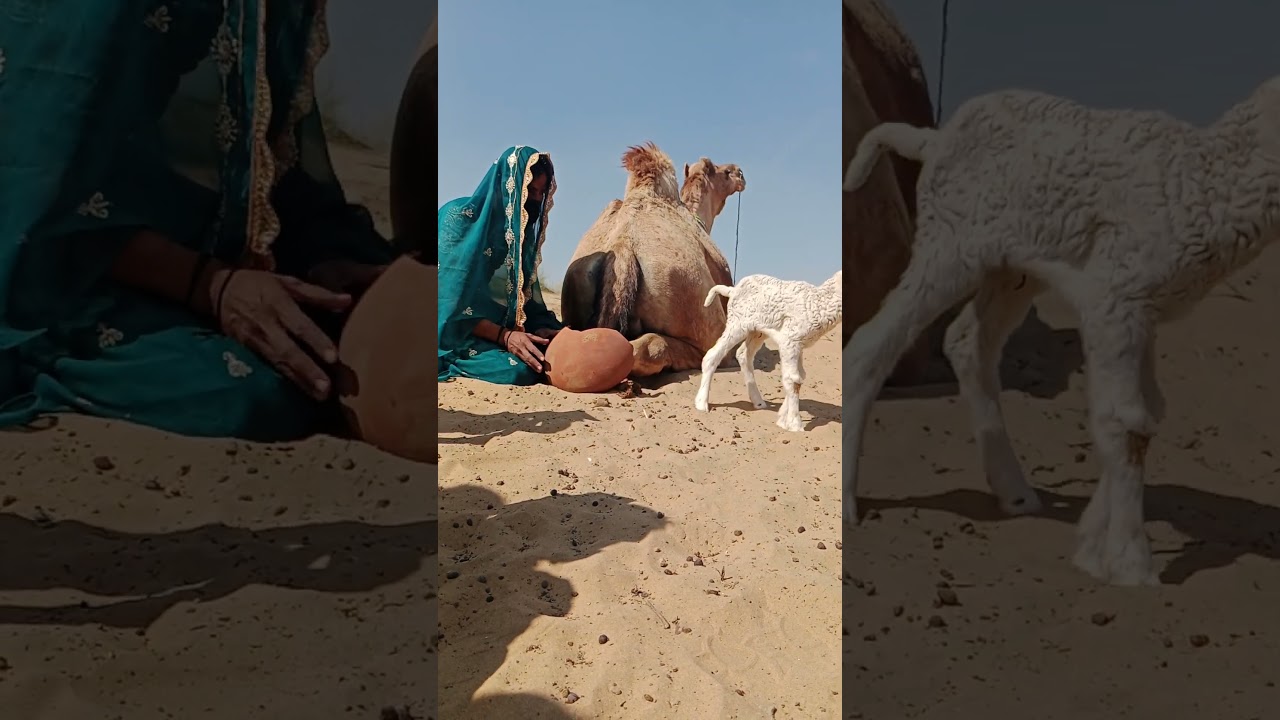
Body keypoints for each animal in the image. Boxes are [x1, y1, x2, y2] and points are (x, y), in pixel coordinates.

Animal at [694, 270, 842, 432]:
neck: (818, 302)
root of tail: (732, 290)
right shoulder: (790, 340)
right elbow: (793, 379)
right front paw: (795, 424)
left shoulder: (798, 344)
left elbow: (800, 377)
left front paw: (782, 419)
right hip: (737, 323)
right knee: (713, 355)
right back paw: (701, 403)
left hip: (757, 330)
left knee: (743, 354)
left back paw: (758, 401)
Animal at [842, 77, 1280, 587]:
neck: (1205, 182)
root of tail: (935, 140)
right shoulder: (1116, 294)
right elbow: (1127, 423)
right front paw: (1132, 566)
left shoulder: (1139, 311)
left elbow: (1145, 417)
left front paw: (1090, 549)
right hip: (950, 245)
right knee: (871, 345)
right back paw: (848, 505)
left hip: (1011, 267)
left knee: (968, 341)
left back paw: (1016, 494)